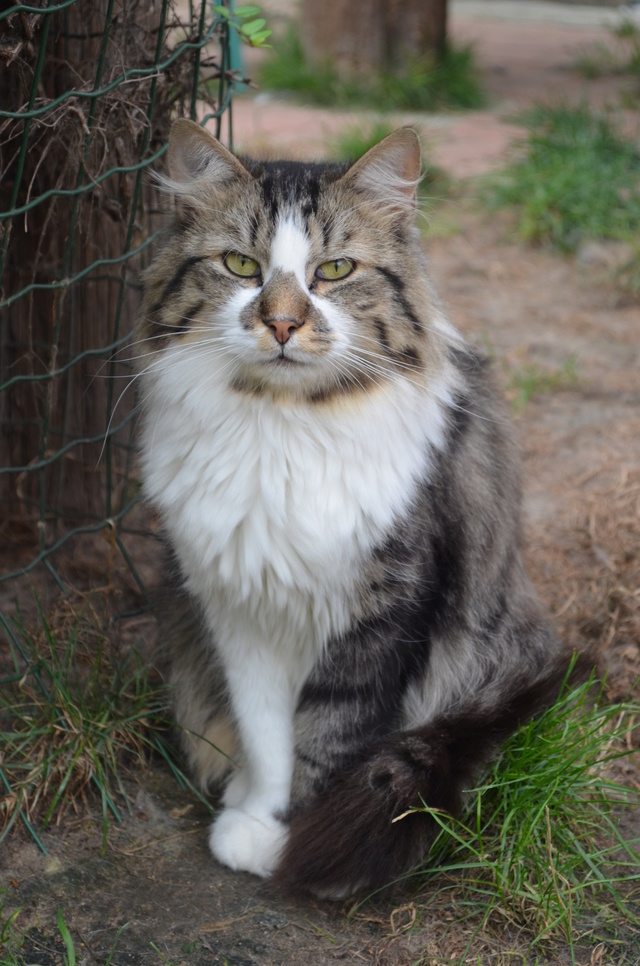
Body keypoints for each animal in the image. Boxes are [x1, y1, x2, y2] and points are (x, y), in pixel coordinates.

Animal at [134, 121, 576, 900]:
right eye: (240, 265)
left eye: (335, 270)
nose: (281, 324)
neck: (281, 429)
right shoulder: (240, 606)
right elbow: (269, 734)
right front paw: (258, 817)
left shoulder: (384, 611)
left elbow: (332, 738)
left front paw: (293, 845)